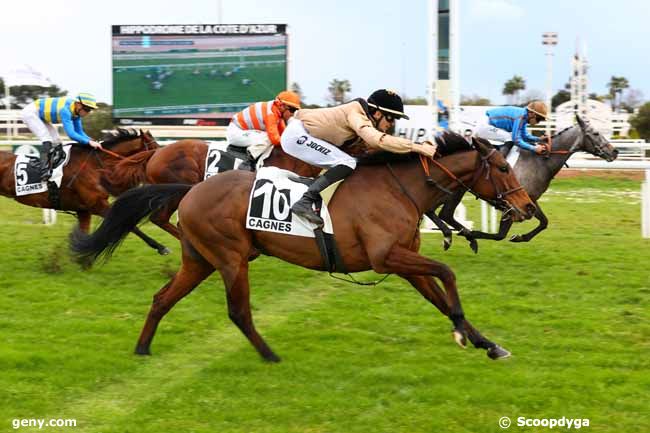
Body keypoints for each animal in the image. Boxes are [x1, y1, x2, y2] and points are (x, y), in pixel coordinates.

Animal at [0, 128, 170, 253]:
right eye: (155, 149)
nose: (162, 165)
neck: (94, 165)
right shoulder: (97, 205)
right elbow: (127, 224)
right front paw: (161, 247)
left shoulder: (83, 210)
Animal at [426, 115, 616, 251]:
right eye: (596, 133)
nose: (614, 151)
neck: (540, 161)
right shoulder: (513, 204)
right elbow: (500, 235)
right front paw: (473, 234)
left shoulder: (529, 200)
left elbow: (544, 222)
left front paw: (519, 237)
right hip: (456, 190)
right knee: (445, 213)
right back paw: (460, 234)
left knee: (434, 210)